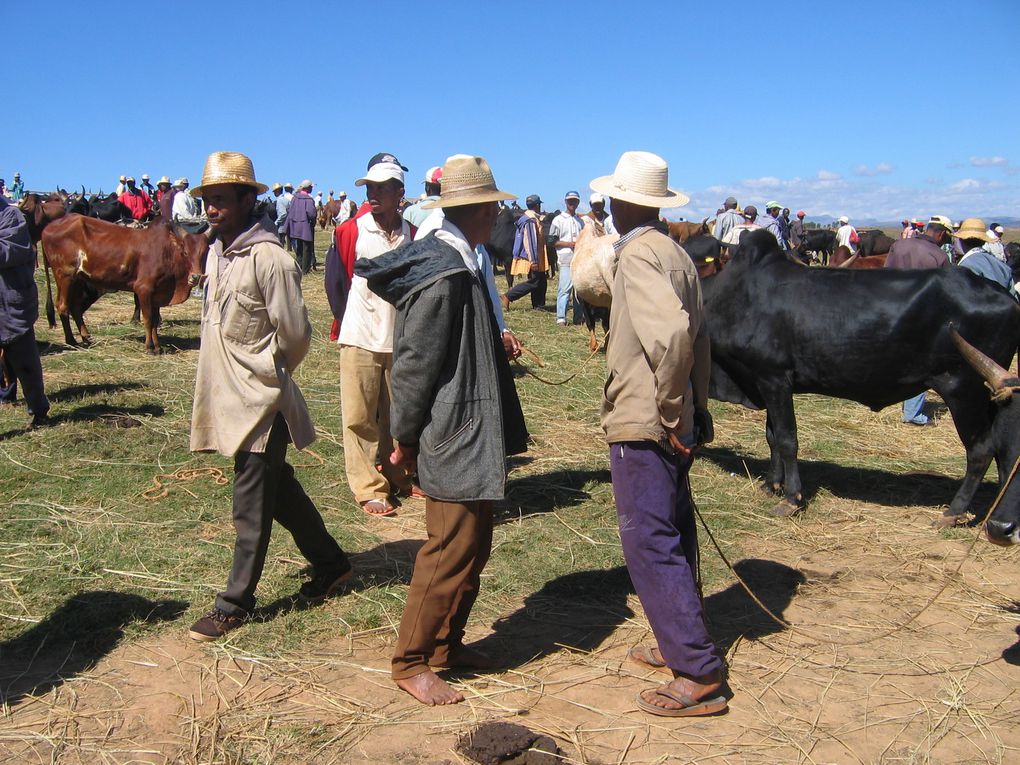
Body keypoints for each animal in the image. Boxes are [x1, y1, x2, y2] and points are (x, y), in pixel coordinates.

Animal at [40, 214, 209, 354]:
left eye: (204, 252)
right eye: (185, 252)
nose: (195, 276)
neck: (167, 251)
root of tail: (48, 227)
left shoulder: (157, 294)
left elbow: (155, 321)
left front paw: (158, 347)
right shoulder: (143, 289)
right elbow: (148, 320)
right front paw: (149, 347)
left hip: (77, 278)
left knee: (75, 307)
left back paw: (86, 338)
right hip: (65, 276)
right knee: (63, 306)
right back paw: (71, 341)